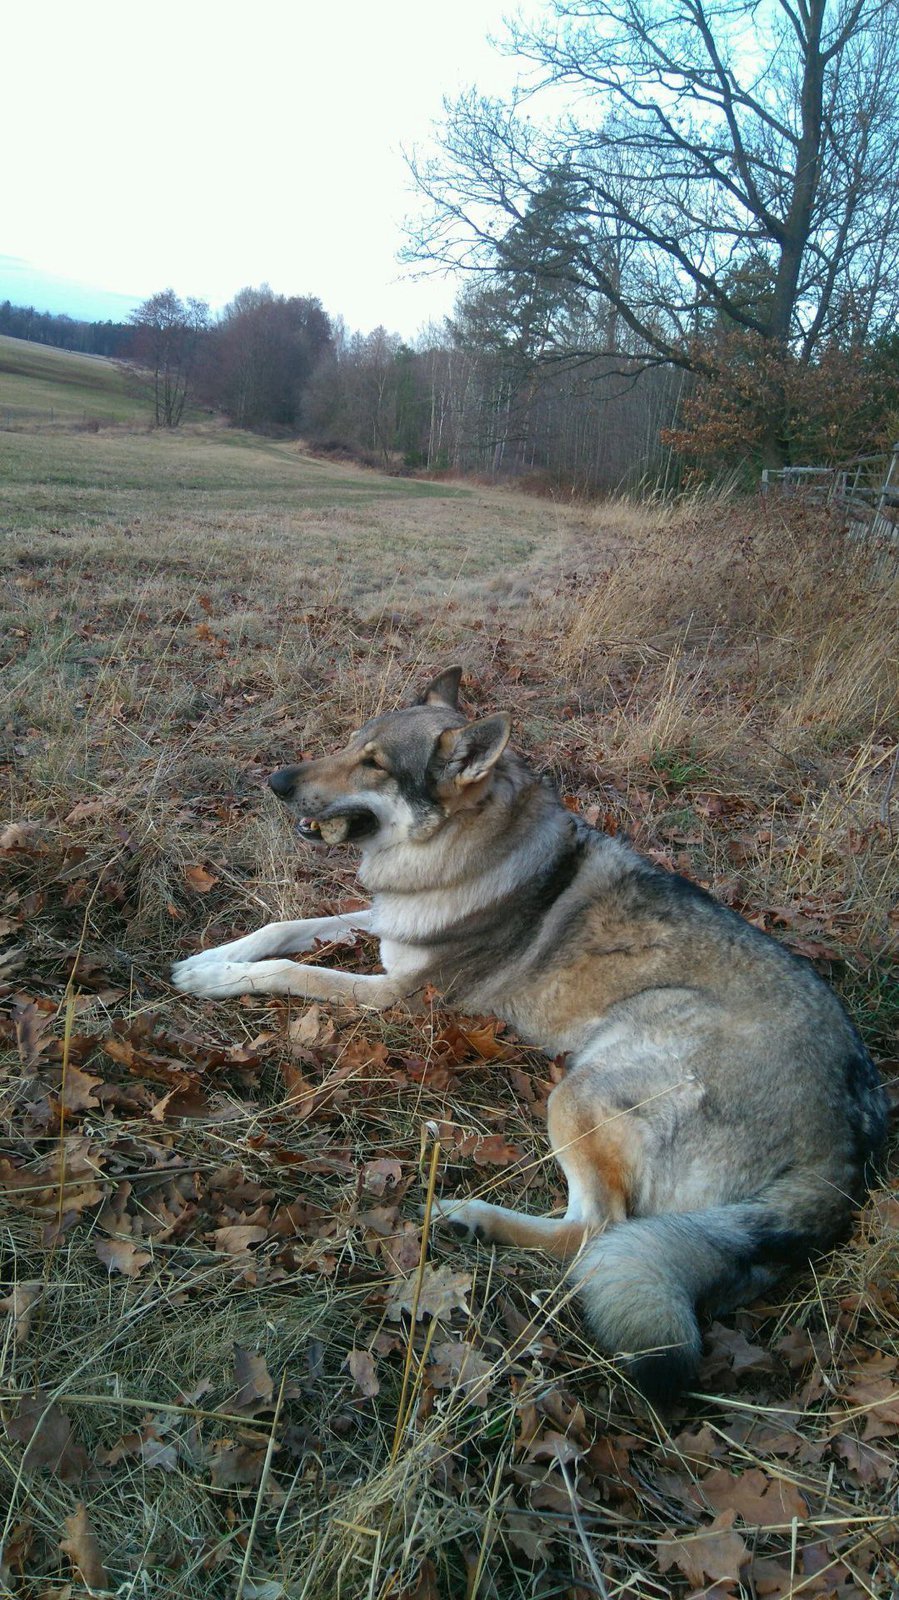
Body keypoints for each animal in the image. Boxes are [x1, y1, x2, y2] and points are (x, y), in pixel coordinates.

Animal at [173, 662, 883, 1401]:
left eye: (373, 764)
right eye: (347, 743)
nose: (276, 780)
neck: (460, 851)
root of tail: (845, 1149)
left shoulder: (397, 997)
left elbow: (292, 970)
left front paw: (214, 979)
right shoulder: (384, 925)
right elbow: (285, 928)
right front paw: (212, 956)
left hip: (584, 1085)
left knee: (596, 1231)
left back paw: (473, 1218)